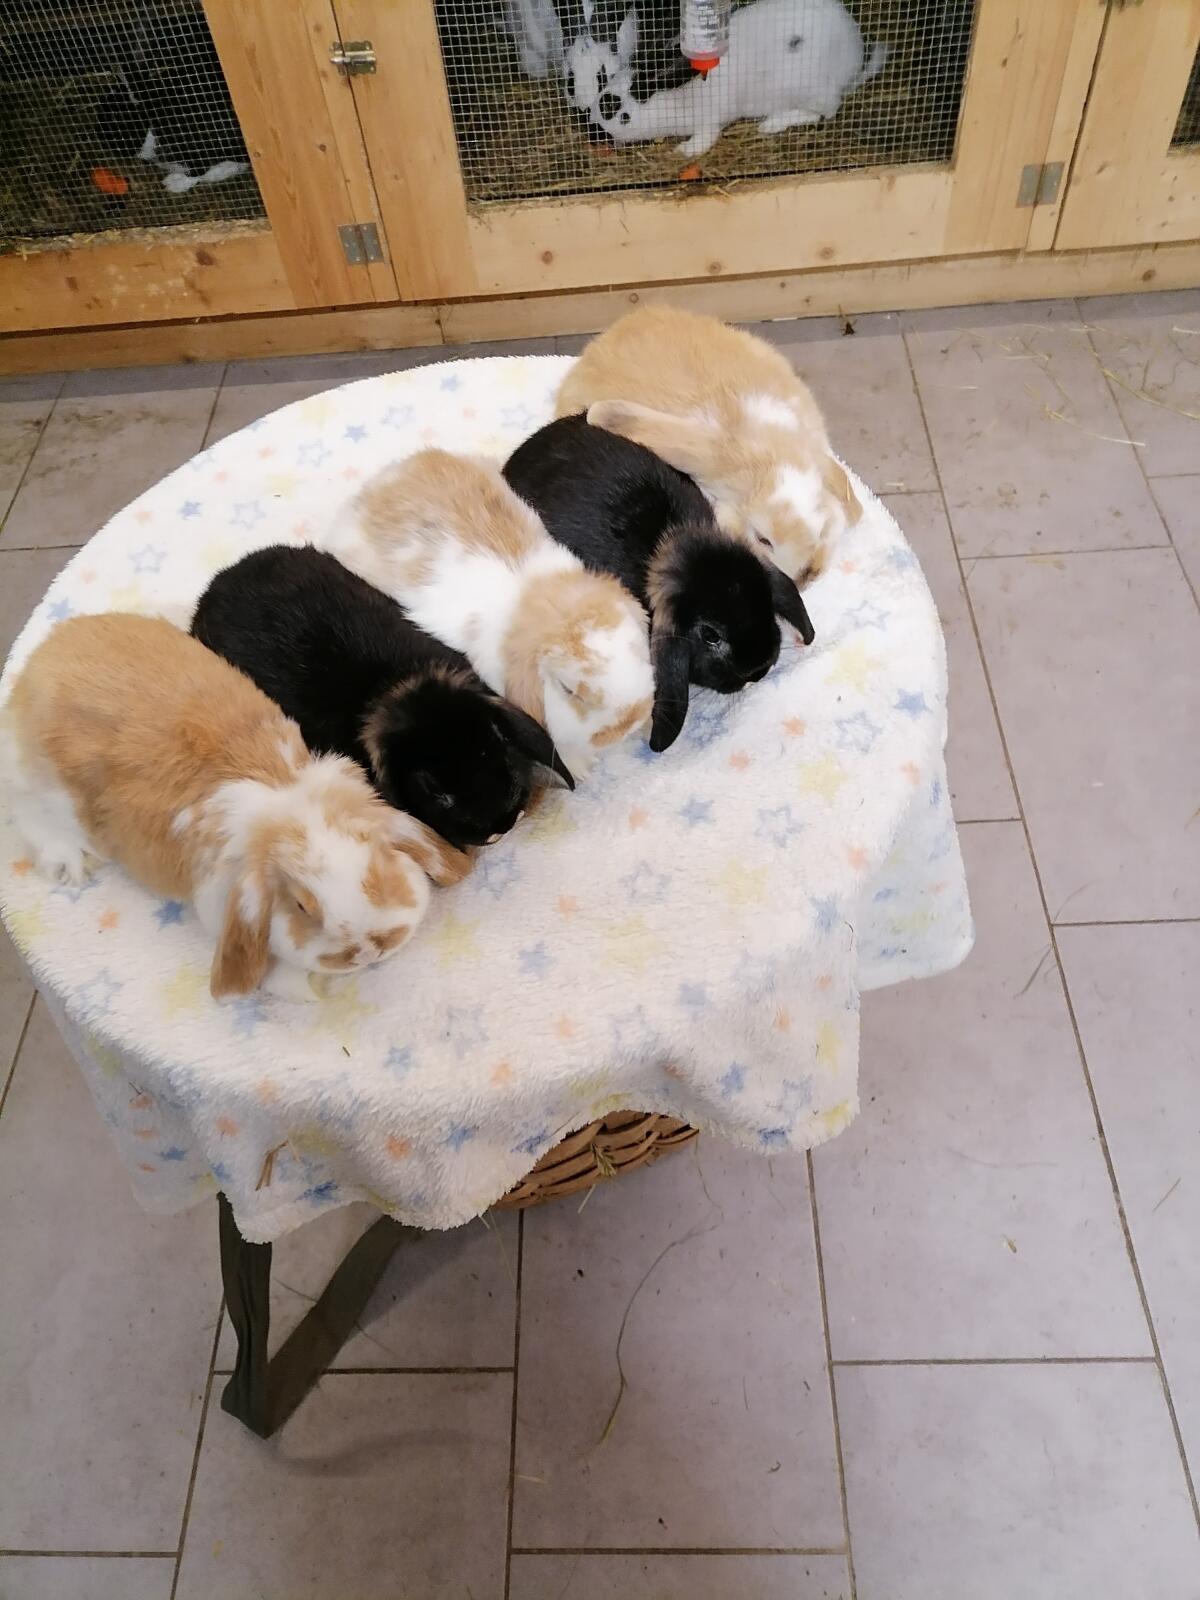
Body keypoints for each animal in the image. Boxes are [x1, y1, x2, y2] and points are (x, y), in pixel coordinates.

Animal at [3, 614, 470, 1003]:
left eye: (379, 867)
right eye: (301, 907)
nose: (369, 951)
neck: (284, 806)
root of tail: (35, 664)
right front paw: (310, 991)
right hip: (37, 790)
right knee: (32, 820)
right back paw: (68, 863)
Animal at [321, 450, 654, 776]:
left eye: (639, 649)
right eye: (568, 691)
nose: (629, 723)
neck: (540, 602)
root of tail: (379, 482)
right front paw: (581, 768)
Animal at [588, 0, 888, 156]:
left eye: (624, 116)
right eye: (603, 90)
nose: (596, 129)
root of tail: (855, 55)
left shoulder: (709, 120)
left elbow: (705, 139)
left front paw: (684, 150)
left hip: (811, 91)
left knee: (825, 112)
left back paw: (771, 124)